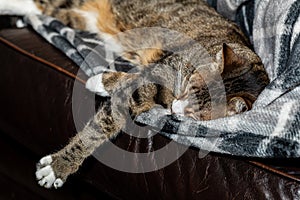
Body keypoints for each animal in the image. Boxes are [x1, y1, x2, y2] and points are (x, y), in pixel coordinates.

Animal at [7, 0, 270, 188]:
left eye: (196, 114)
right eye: (189, 86)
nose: (175, 108)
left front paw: (101, 80)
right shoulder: (163, 69)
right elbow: (102, 124)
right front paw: (59, 166)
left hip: (83, 18)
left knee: (41, 8)